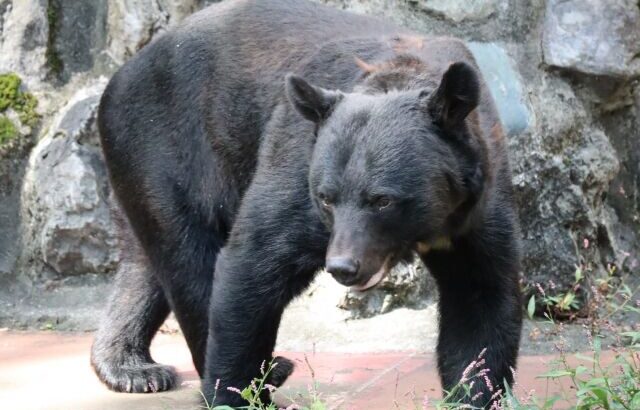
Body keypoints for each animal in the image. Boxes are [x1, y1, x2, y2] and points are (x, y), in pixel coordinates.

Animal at [90, 0, 524, 406]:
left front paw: (472, 393)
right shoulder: (298, 164)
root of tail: (116, 78)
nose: (344, 266)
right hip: (165, 149)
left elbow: (480, 298)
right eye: (326, 198)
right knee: (189, 261)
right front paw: (234, 394)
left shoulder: (479, 203)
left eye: (382, 200)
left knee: (146, 264)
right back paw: (267, 368)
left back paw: (128, 365)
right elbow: (254, 262)